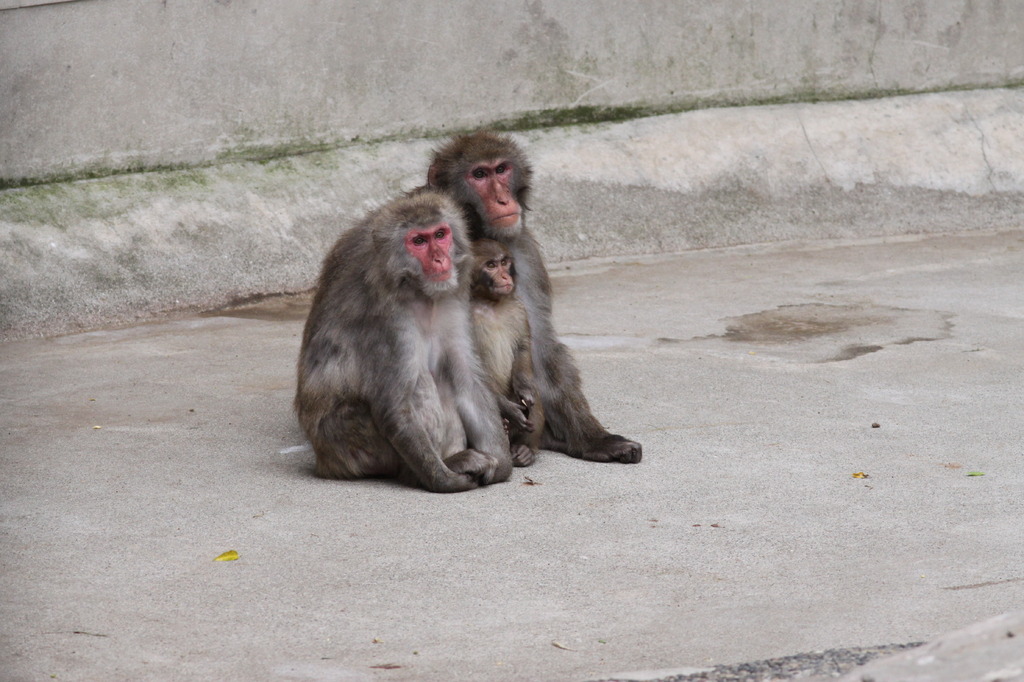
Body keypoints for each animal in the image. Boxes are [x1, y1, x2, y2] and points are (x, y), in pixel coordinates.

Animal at [299, 188, 516, 491]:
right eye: (418, 241)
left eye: (440, 234)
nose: (440, 259)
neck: (418, 290)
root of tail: (325, 463)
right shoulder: (386, 318)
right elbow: (394, 405)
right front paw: (445, 481)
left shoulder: (452, 296)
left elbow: (467, 381)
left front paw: (502, 467)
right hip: (352, 444)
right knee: (420, 381)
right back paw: (428, 470)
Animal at [468, 236, 544, 464]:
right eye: (491, 265)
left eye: (504, 262)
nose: (504, 275)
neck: (492, 303)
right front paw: (509, 410)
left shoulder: (518, 308)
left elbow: (523, 347)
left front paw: (525, 389)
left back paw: (526, 448)